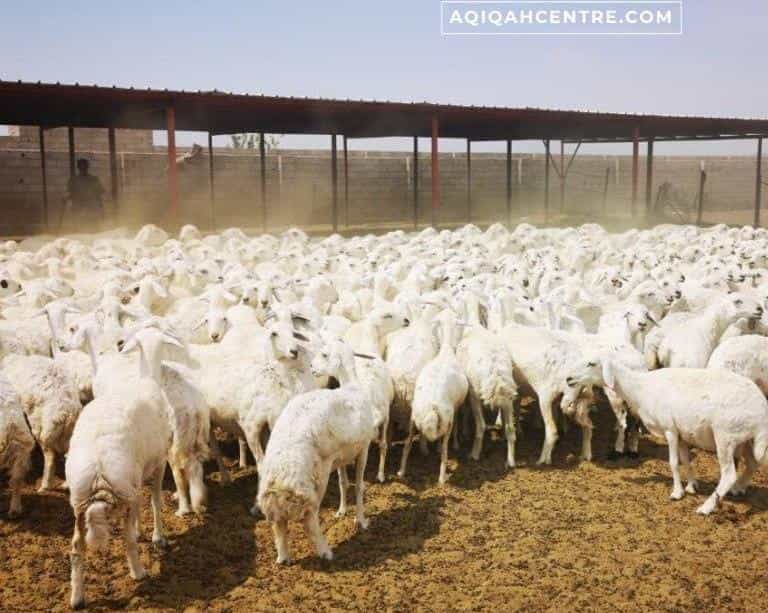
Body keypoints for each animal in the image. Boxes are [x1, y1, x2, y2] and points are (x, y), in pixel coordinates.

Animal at [258, 340, 378, 564]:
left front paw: (341, 511)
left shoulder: (340, 457)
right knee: (310, 518)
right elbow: (359, 486)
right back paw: (325, 551)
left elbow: (343, 483)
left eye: (324, 354)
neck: (352, 386)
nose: (312, 367)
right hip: (317, 476)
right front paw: (362, 521)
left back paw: (283, 556)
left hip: (274, 490)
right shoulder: (364, 447)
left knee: (279, 524)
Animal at [560, 356, 768, 512]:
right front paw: (692, 486)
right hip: (744, 439)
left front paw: (677, 493)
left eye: (591, 363)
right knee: (752, 463)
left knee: (729, 474)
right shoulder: (682, 433)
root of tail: (761, 410)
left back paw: (707, 507)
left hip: (725, 436)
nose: (568, 378)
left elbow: (674, 463)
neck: (640, 388)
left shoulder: (670, 430)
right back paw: (738, 488)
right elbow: (686, 461)